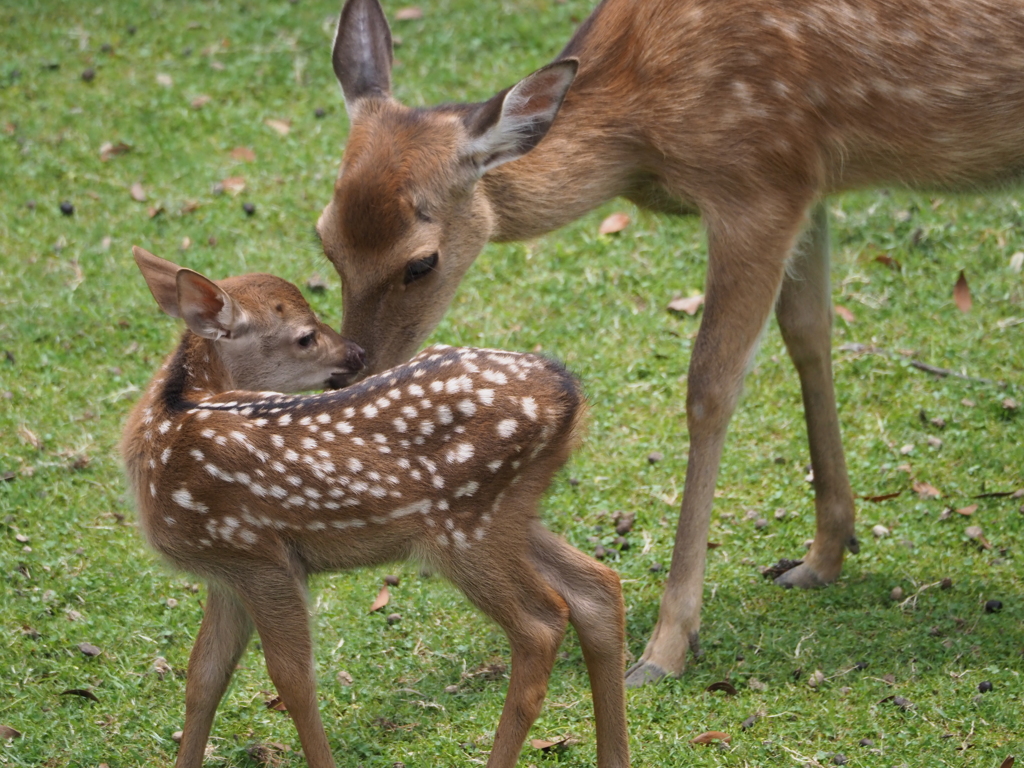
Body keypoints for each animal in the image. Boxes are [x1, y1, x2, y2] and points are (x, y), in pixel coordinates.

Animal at [122, 249, 626, 765]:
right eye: (305, 336)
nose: (357, 354)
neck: (170, 424)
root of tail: (568, 391)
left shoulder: (260, 557)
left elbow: (292, 681)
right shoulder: (226, 569)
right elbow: (204, 677)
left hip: (466, 531)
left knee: (541, 625)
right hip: (508, 514)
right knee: (598, 588)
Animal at [317, 0, 1024, 684]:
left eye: (421, 263)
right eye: (325, 239)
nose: (358, 375)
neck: (642, 127)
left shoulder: (758, 180)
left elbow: (711, 387)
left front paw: (666, 646)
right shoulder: (809, 178)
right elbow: (809, 331)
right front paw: (823, 554)